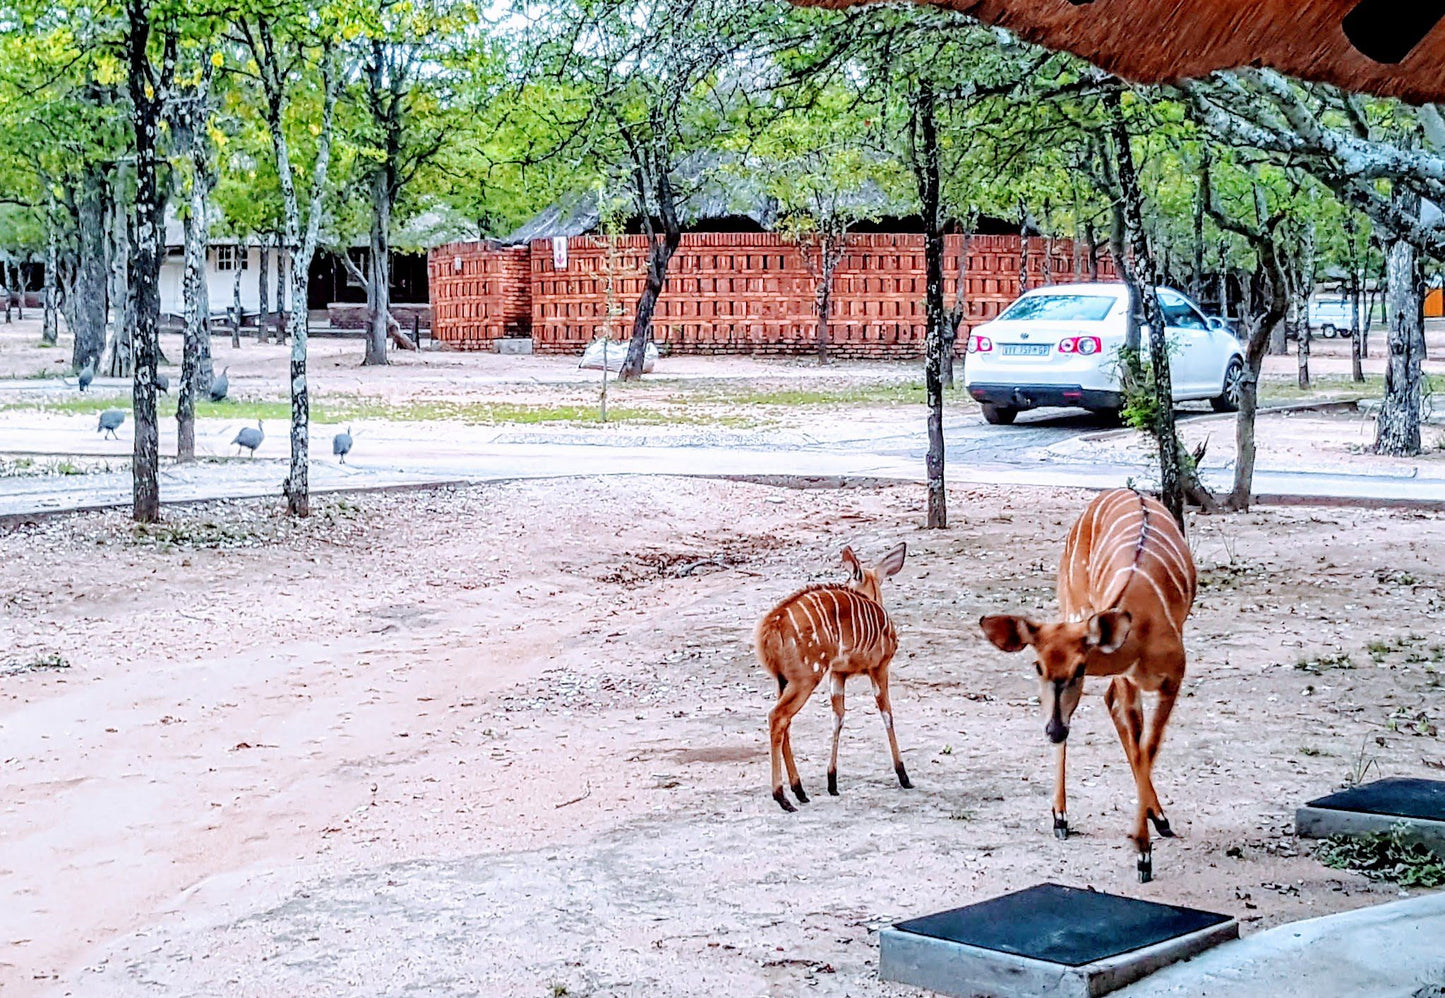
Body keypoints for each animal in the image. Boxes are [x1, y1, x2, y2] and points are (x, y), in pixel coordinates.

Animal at [762, 545, 907, 814]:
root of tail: (769, 628)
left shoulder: (838, 674)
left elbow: (837, 718)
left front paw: (832, 782)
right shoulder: (880, 667)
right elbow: (887, 715)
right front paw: (904, 775)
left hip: (784, 681)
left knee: (784, 723)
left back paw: (799, 791)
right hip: (805, 679)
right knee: (777, 717)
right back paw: (782, 797)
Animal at [982, 491, 1196, 883]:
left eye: (1080, 668)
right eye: (1037, 666)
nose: (1053, 729)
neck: (1144, 627)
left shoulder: (1173, 678)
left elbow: (1148, 747)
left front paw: (1146, 840)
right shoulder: (1129, 679)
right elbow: (1140, 745)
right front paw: (1143, 850)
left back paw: (1157, 817)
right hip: (1071, 600)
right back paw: (1061, 818)